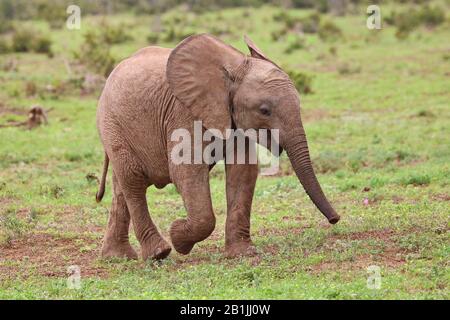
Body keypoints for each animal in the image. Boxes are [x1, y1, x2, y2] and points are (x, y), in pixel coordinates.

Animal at [96, 33, 340, 262]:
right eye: (264, 110)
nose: (335, 219)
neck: (233, 66)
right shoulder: (184, 112)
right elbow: (186, 170)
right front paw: (178, 237)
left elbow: (243, 170)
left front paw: (243, 253)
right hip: (112, 125)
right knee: (133, 182)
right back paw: (158, 253)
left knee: (121, 188)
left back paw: (117, 257)